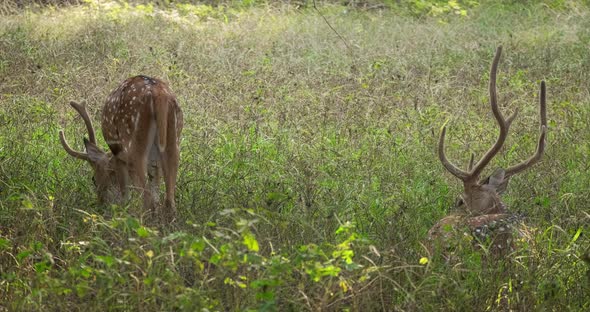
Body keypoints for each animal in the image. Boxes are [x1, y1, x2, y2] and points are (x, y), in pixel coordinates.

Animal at [59, 75, 183, 222]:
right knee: (169, 201)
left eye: (93, 179)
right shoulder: (153, 161)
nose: (101, 204)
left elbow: (126, 194)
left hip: (133, 144)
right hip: (174, 139)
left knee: (147, 199)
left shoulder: (119, 155)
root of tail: (158, 94)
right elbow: (156, 192)